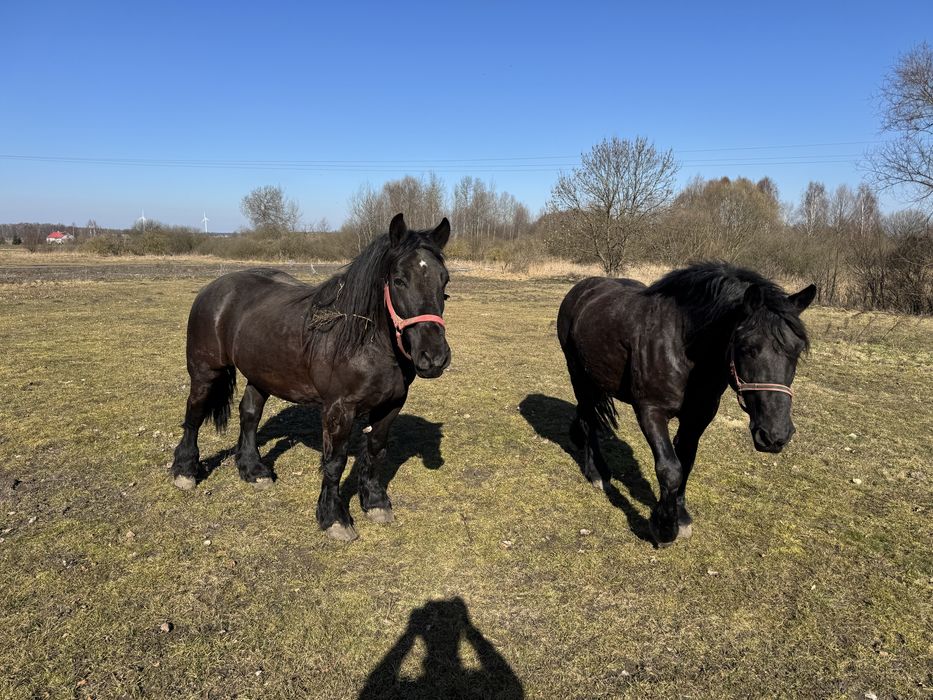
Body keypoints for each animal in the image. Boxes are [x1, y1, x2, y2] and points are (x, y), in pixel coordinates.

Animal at [170, 213, 451, 542]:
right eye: (399, 280)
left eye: (444, 280)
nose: (434, 358)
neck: (364, 341)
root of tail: (213, 289)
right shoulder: (338, 409)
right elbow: (335, 462)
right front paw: (334, 517)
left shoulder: (391, 405)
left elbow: (375, 451)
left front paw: (375, 502)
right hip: (205, 371)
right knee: (194, 413)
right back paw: (185, 470)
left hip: (261, 374)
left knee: (249, 414)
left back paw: (254, 470)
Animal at [557, 262, 816, 547]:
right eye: (748, 347)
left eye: (797, 350)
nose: (774, 435)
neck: (682, 347)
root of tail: (582, 288)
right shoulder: (651, 412)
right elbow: (670, 469)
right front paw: (664, 528)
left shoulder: (698, 417)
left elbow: (686, 462)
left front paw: (680, 517)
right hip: (577, 374)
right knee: (589, 419)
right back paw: (597, 473)